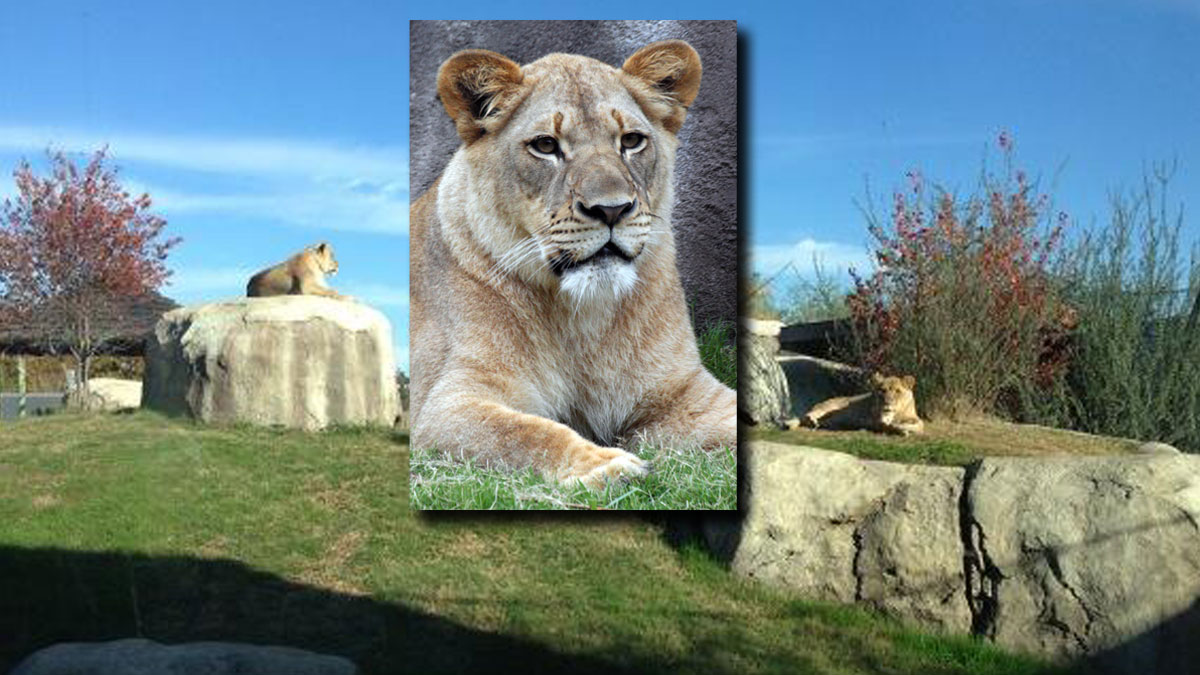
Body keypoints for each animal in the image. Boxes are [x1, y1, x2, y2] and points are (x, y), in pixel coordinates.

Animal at [409, 40, 736, 489]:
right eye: (546, 146)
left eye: (631, 141)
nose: (611, 209)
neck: (583, 321)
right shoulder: (444, 405)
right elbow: (526, 433)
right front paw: (607, 465)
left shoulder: (684, 392)